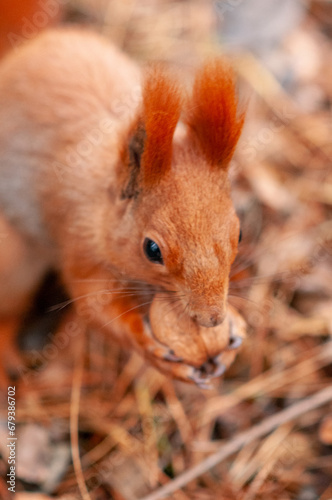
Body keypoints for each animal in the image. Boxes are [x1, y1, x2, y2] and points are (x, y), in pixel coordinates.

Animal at [0, 27, 244, 384]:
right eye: (152, 250)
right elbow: (96, 308)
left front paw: (235, 328)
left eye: (239, 235)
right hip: (13, 261)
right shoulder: (80, 243)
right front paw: (148, 347)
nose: (211, 319)